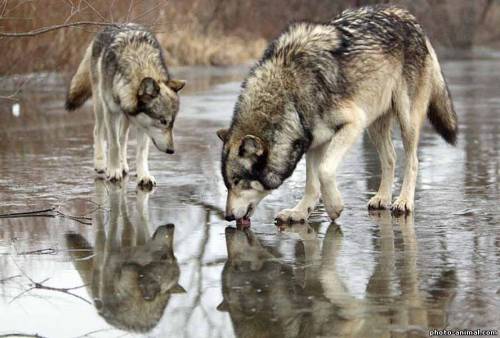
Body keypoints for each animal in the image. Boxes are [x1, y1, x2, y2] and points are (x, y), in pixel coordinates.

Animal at [64, 23, 186, 187]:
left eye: (172, 123)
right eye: (163, 121)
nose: (171, 150)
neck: (139, 62)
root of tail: (106, 27)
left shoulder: (143, 124)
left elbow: (141, 151)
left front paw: (144, 175)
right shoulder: (111, 112)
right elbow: (114, 144)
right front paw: (114, 171)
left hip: (126, 118)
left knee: (123, 138)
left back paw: (123, 165)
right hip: (100, 105)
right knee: (99, 131)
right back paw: (101, 163)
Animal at [65, 180, 185, 332]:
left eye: (173, 256)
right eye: (165, 256)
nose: (171, 226)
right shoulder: (111, 254)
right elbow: (114, 216)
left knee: (127, 219)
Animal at [217, 5, 458, 224]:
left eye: (237, 181)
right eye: (227, 184)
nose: (228, 217)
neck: (289, 90)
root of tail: (408, 16)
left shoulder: (352, 123)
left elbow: (324, 171)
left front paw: (334, 207)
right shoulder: (314, 140)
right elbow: (312, 184)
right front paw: (299, 213)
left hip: (405, 120)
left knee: (412, 161)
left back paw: (404, 201)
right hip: (374, 124)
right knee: (390, 158)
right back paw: (382, 198)